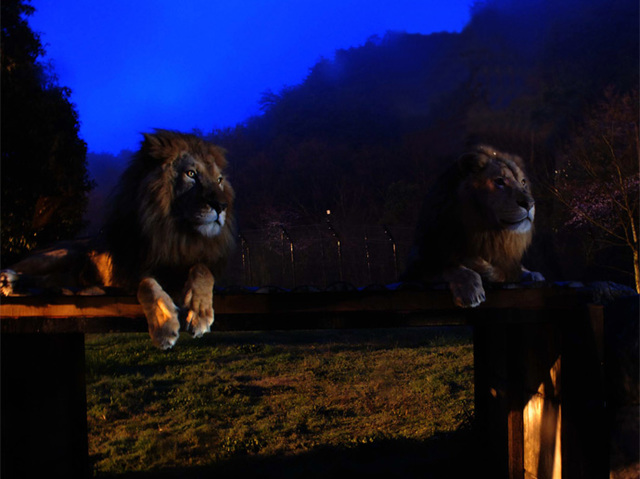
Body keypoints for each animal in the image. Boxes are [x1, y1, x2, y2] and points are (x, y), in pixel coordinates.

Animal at [0, 130, 235, 348]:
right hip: (59, 255)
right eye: (191, 173)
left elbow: (202, 269)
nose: (221, 206)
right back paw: (9, 281)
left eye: (219, 180)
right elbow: (147, 284)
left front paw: (199, 313)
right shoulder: (129, 271)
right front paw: (164, 325)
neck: (175, 234)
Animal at [402, 144, 544, 308]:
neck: (488, 234)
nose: (530, 203)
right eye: (499, 181)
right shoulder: (415, 267)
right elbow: (451, 267)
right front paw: (470, 291)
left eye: (523, 182)